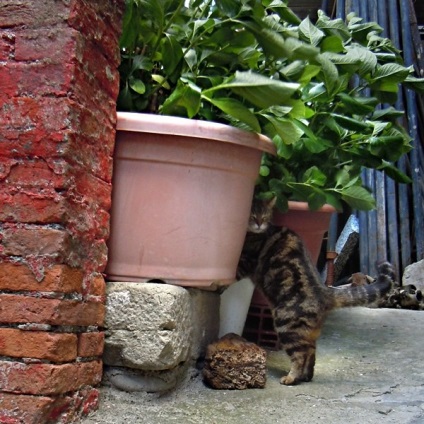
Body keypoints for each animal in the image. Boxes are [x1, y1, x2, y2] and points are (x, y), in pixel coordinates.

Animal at [237, 197, 396, 386]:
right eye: (253, 214)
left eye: (265, 215)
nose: (259, 223)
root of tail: (325, 292)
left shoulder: (246, 260)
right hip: (305, 333)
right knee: (311, 353)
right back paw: (306, 376)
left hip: (286, 326)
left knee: (300, 355)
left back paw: (291, 378)